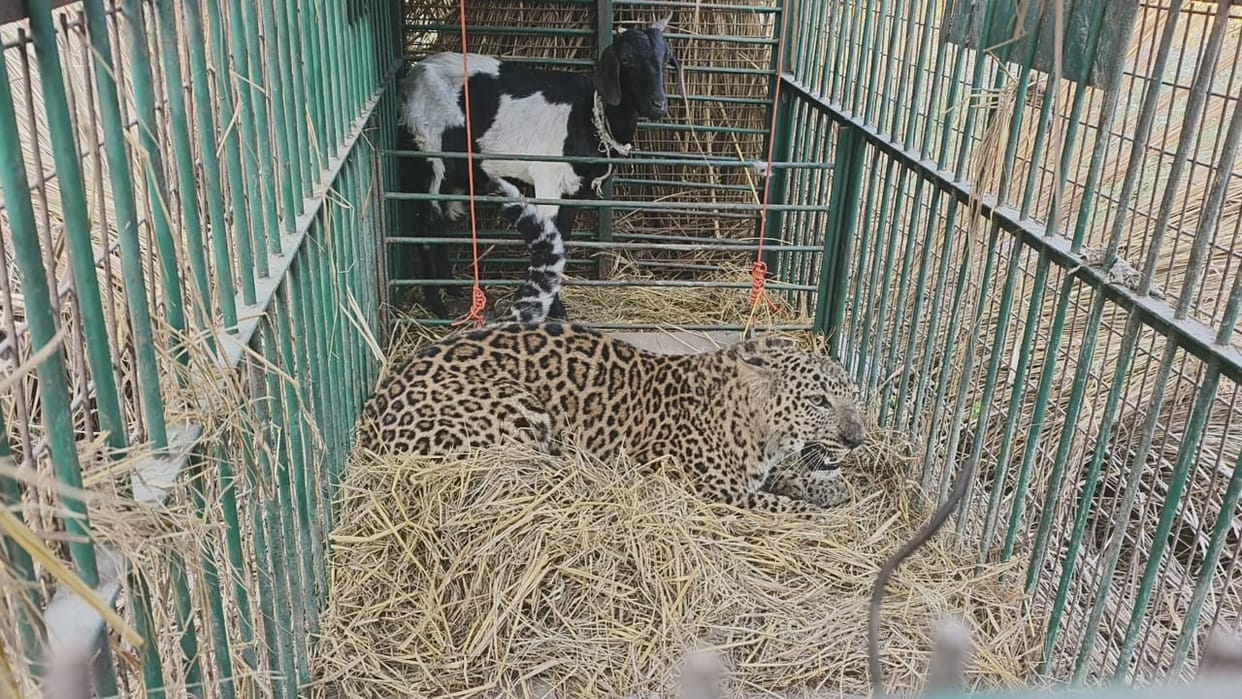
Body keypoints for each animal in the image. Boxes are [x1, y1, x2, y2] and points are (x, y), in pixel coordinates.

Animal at [355, 322, 868, 514]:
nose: (858, 439)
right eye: (819, 400)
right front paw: (823, 509)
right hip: (514, 411)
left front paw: (828, 487)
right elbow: (781, 505)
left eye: (854, 397)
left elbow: (791, 477)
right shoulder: (710, 492)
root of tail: (372, 410)